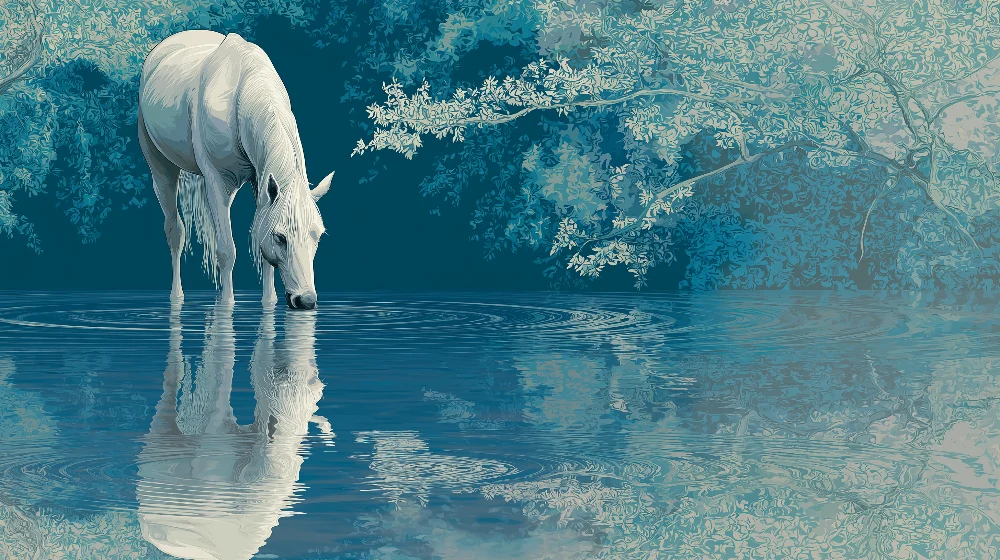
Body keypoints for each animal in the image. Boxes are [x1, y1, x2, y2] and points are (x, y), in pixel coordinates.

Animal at [137, 30, 333, 309]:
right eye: (281, 237)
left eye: (317, 235)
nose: (305, 301)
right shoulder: (218, 183)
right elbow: (226, 251)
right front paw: (227, 305)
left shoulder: (261, 184)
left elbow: (261, 245)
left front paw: (268, 302)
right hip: (160, 168)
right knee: (175, 231)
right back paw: (177, 297)